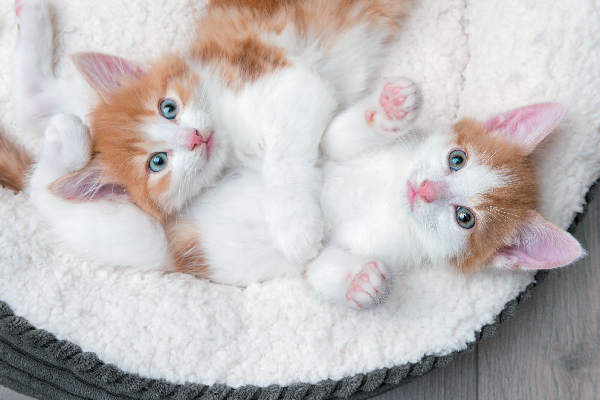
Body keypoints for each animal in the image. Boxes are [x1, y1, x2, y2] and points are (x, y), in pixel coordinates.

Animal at [11, 0, 410, 266]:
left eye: (168, 108)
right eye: (158, 162)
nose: (194, 137)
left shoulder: (288, 82)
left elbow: (283, 160)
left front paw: (294, 226)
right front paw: (297, 226)